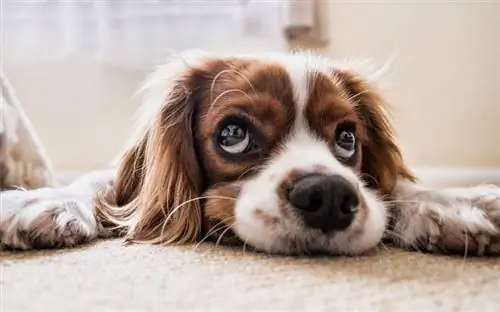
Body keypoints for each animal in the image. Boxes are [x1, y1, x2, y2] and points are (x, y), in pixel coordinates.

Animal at [0, 50, 500, 256]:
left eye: (347, 139)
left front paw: (453, 204)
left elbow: (396, 186)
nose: (329, 196)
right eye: (233, 134)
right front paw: (41, 202)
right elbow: (100, 183)